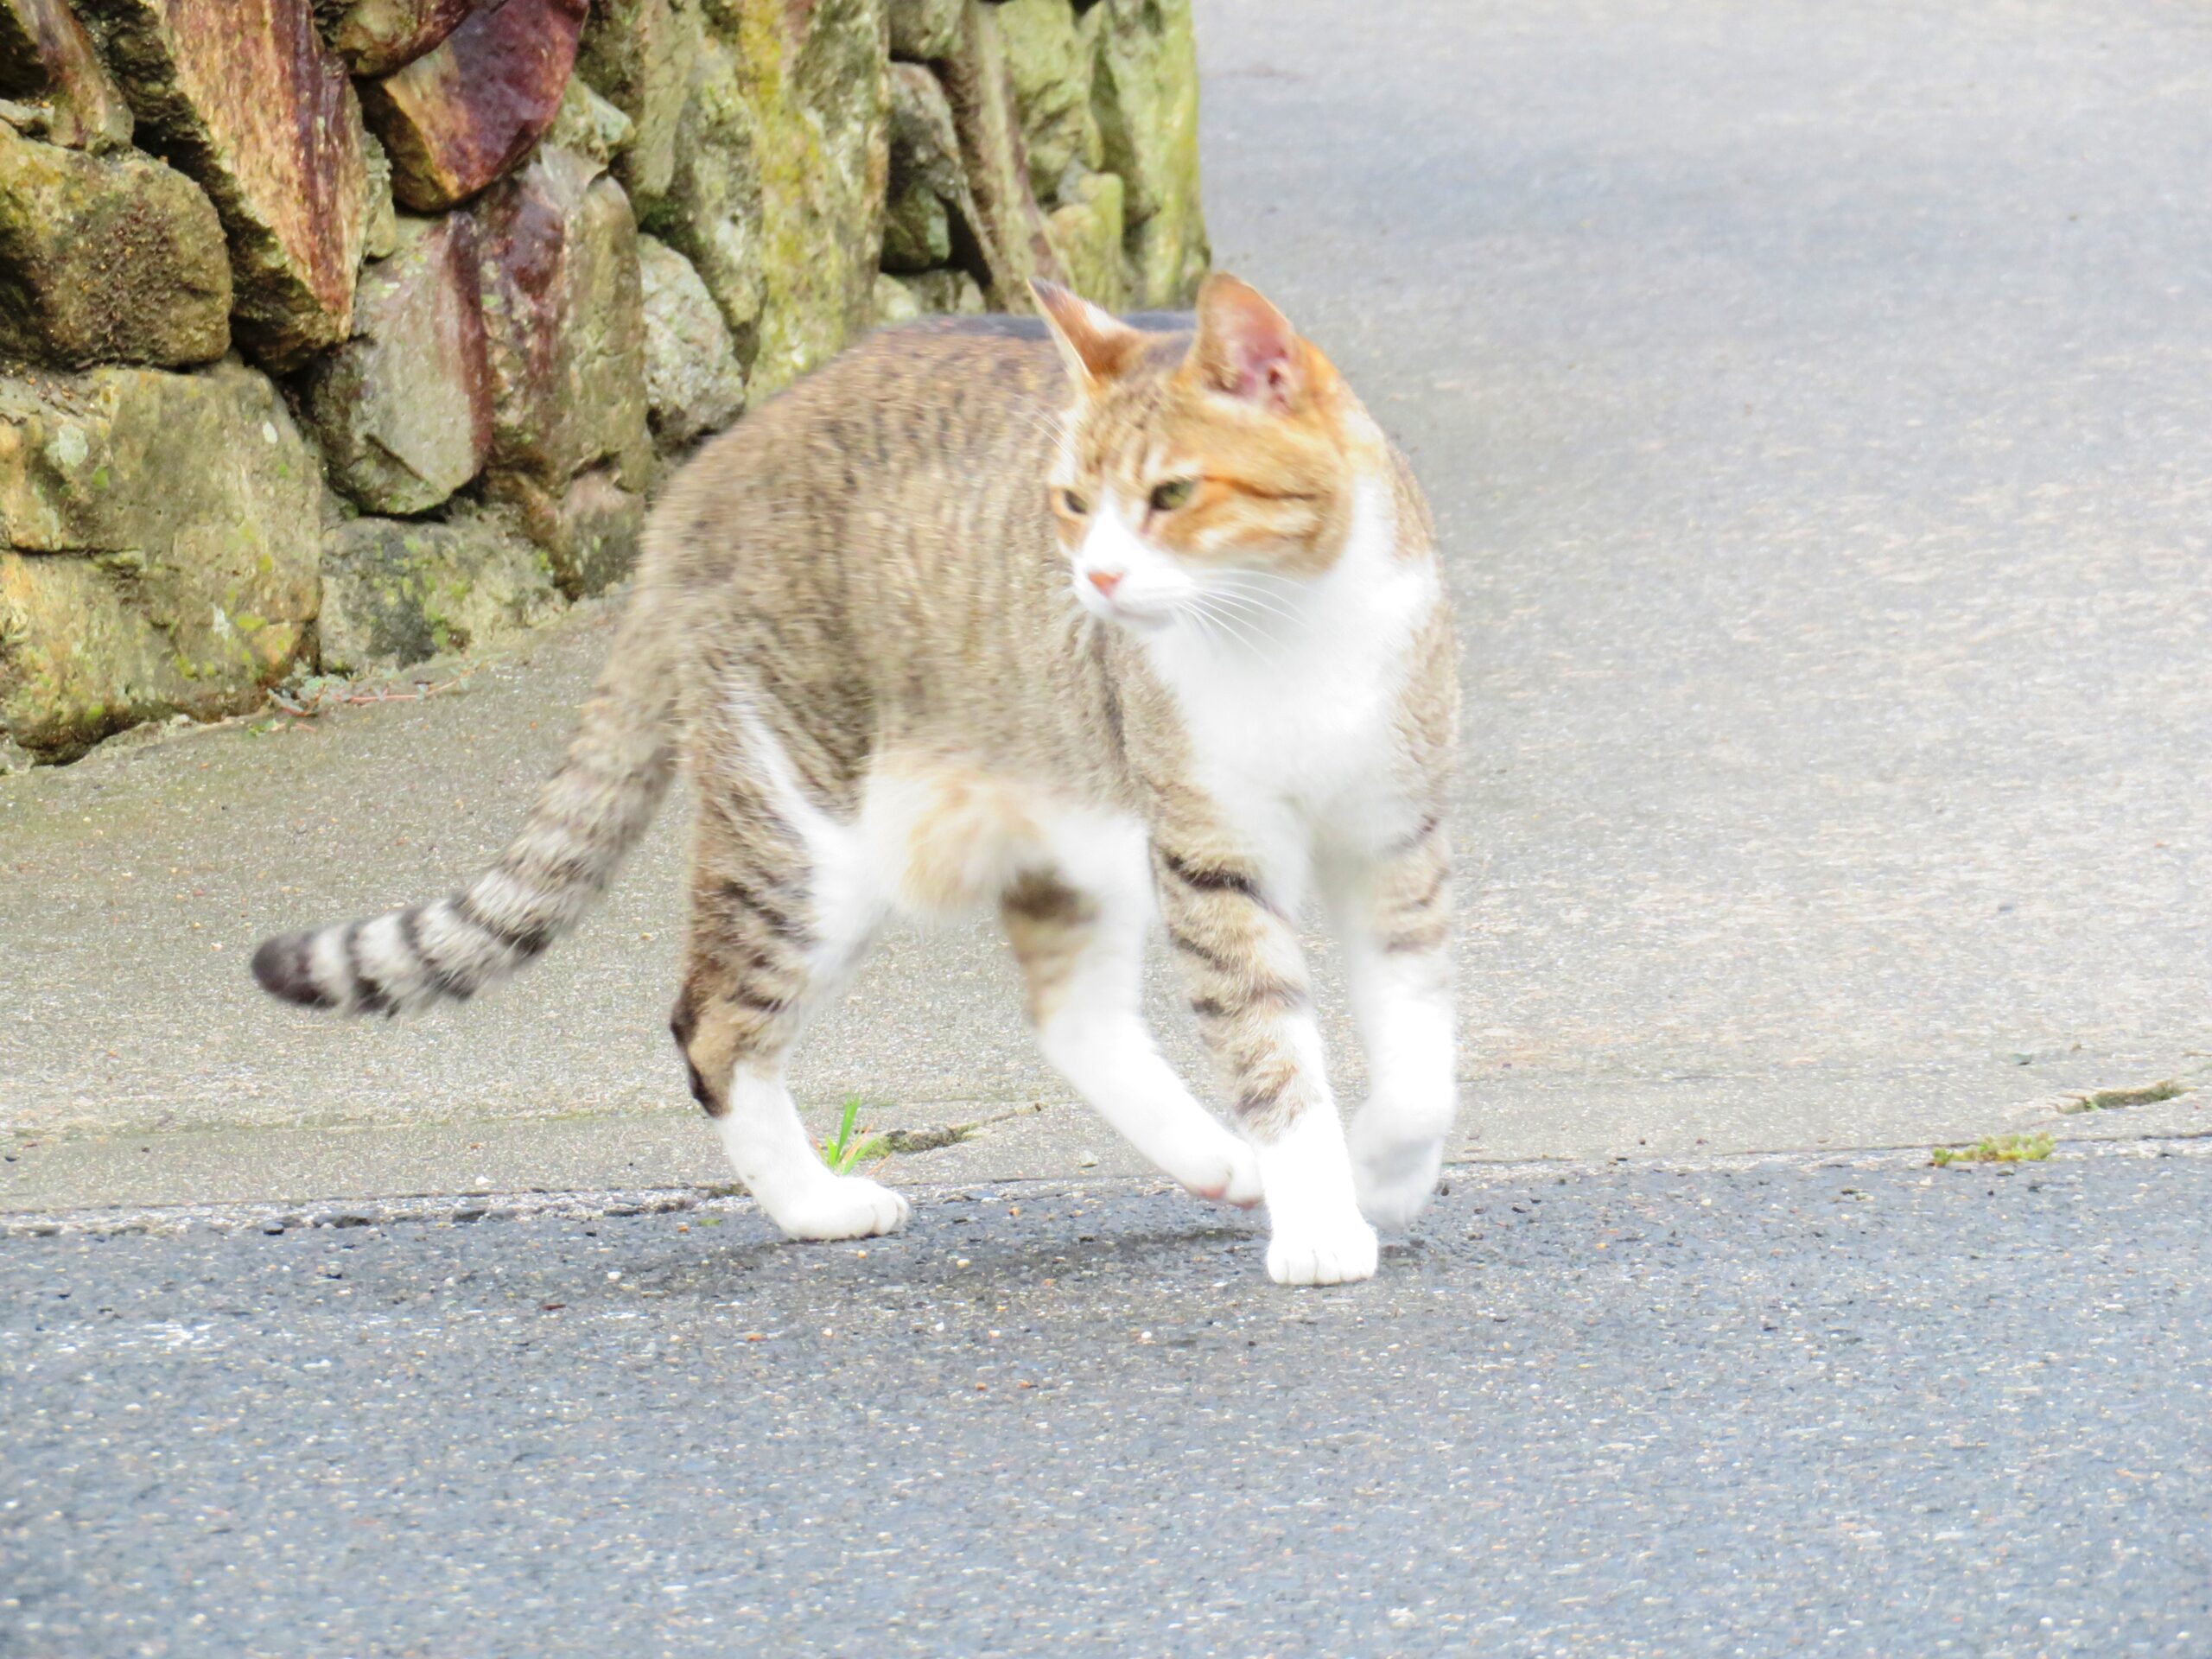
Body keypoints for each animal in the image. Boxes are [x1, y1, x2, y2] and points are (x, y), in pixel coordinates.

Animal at [251, 273, 1459, 1292]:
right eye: (1072, 501)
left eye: (1170, 493)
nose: (1097, 580)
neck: (1285, 632)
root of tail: (704, 469)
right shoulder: (1210, 850)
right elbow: (1267, 1043)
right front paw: (1319, 1218)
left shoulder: (1393, 838)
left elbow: (1418, 1055)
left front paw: (1383, 1171)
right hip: (810, 834)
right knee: (711, 1029)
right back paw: (814, 1207)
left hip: (1074, 809)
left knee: (1071, 1018)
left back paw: (1214, 1163)